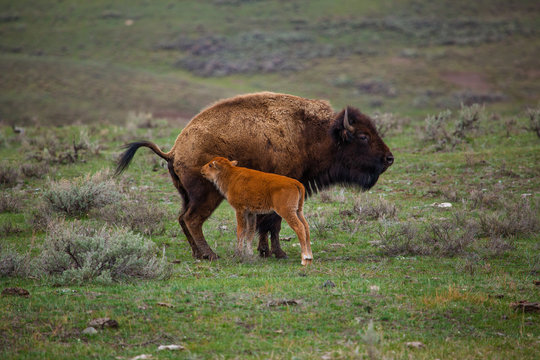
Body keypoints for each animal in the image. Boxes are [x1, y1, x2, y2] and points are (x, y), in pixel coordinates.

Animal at [116, 91, 394, 260]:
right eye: (363, 136)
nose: (389, 159)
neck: (313, 133)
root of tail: (173, 150)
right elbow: (274, 223)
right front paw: (277, 253)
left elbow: (267, 224)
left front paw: (266, 251)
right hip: (207, 196)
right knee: (192, 219)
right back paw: (210, 254)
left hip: (186, 195)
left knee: (182, 218)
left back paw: (198, 254)